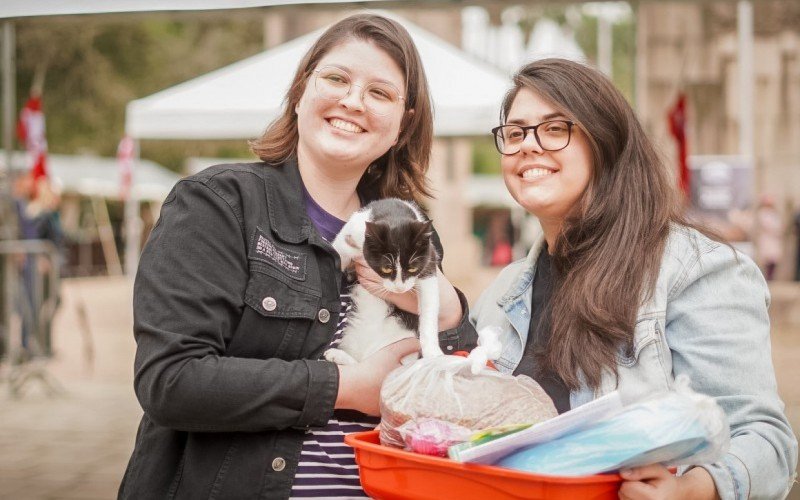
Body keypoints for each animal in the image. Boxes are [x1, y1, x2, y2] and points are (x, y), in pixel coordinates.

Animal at [328, 197, 446, 366]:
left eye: (412, 268)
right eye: (386, 269)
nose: (399, 288)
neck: (394, 213)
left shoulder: (429, 258)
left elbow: (430, 304)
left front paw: (433, 352)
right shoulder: (349, 235)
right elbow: (337, 252)